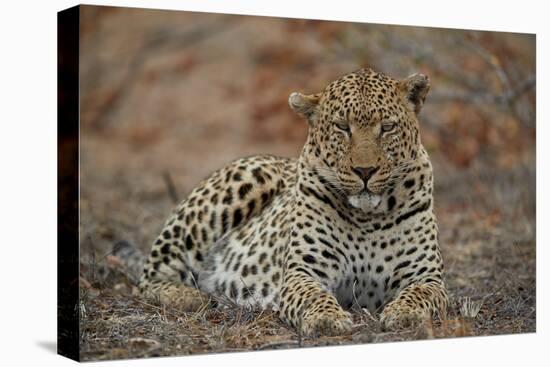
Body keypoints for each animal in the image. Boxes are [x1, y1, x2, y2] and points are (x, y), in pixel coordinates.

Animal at [127, 67, 450, 338]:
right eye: (342, 127)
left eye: (388, 127)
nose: (365, 171)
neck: (368, 216)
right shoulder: (303, 272)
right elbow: (314, 296)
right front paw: (327, 319)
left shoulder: (426, 275)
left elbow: (419, 295)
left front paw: (404, 314)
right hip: (235, 189)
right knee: (149, 277)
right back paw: (192, 297)